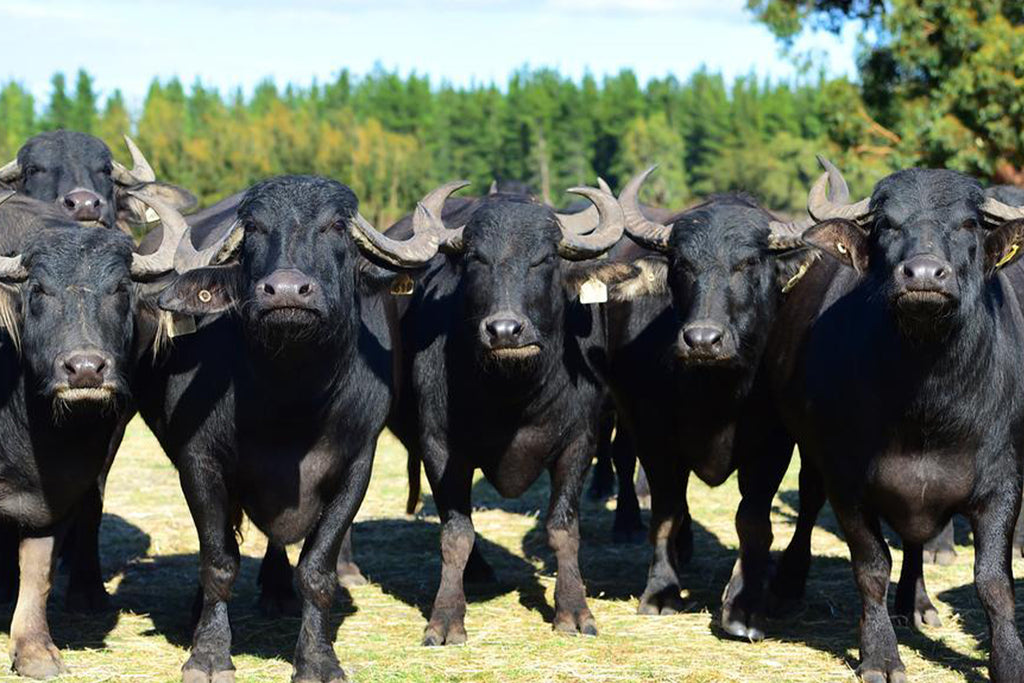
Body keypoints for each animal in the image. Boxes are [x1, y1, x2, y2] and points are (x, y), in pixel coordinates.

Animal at [140, 174, 456, 679]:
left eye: (335, 227)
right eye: (253, 228)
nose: (286, 291)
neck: (291, 400)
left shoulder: (356, 465)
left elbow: (317, 569)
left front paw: (317, 658)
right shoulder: (198, 461)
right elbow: (218, 562)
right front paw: (208, 654)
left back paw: (277, 590)